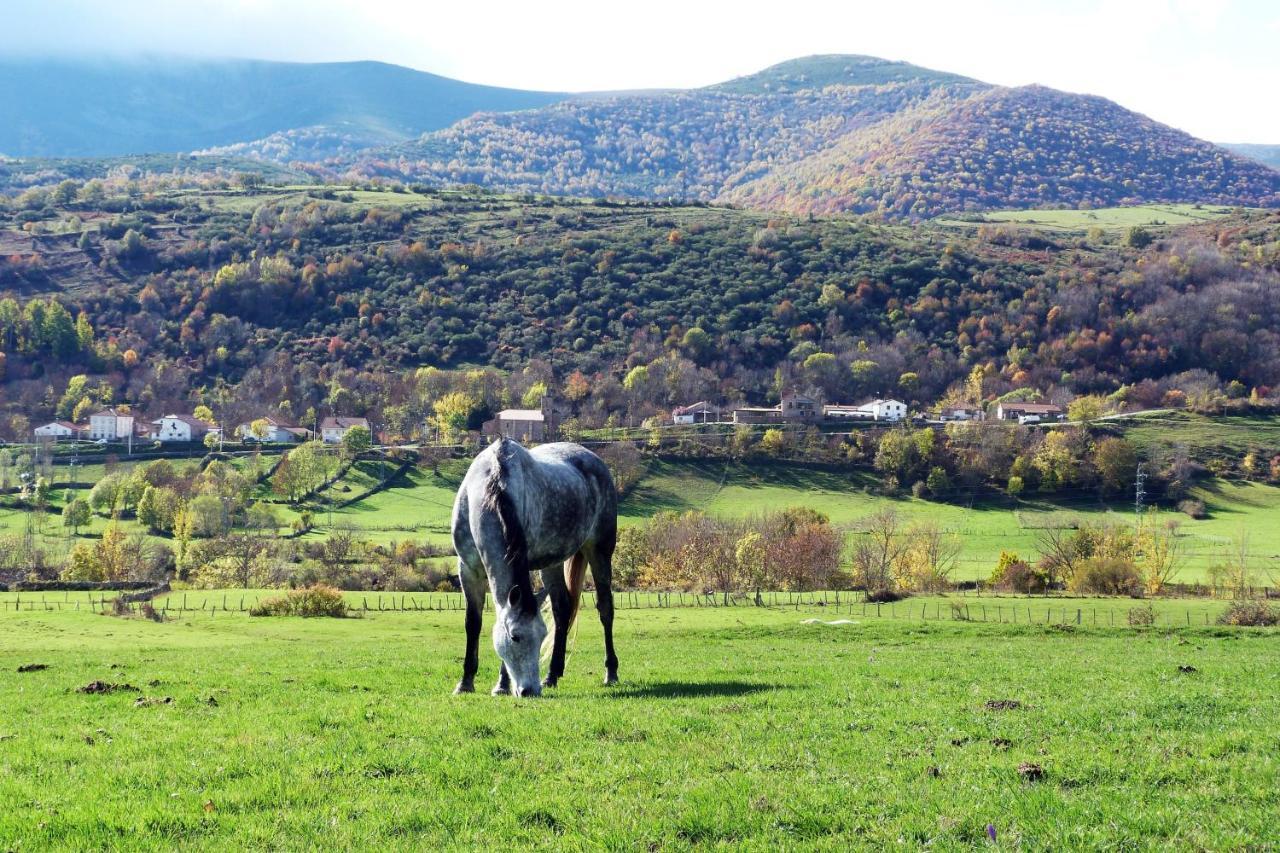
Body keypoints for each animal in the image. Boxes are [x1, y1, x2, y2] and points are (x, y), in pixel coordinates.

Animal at [450, 435, 619, 696]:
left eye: (541, 637)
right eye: (515, 637)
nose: (530, 690)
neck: (491, 489)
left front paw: (502, 685)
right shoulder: (468, 569)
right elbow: (473, 623)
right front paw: (465, 682)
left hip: (599, 551)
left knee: (605, 609)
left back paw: (610, 672)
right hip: (551, 563)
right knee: (562, 609)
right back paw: (552, 675)